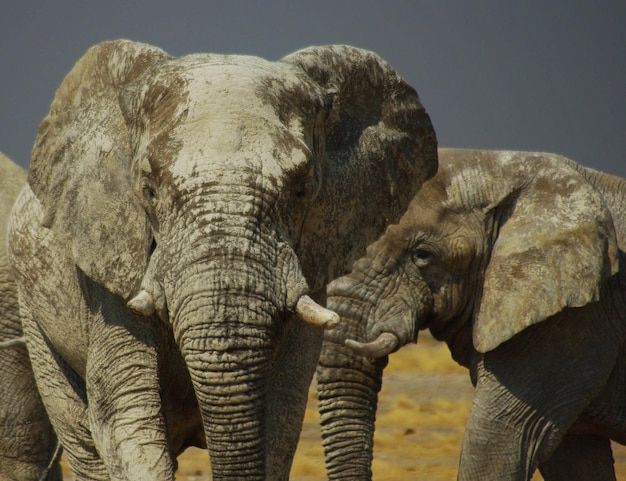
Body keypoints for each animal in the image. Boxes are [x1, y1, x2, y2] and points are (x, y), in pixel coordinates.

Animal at [7, 39, 436, 478]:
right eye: (148, 191)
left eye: (302, 191)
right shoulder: (110, 263)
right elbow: (123, 407)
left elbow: (282, 414)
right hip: (33, 310)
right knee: (80, 434)